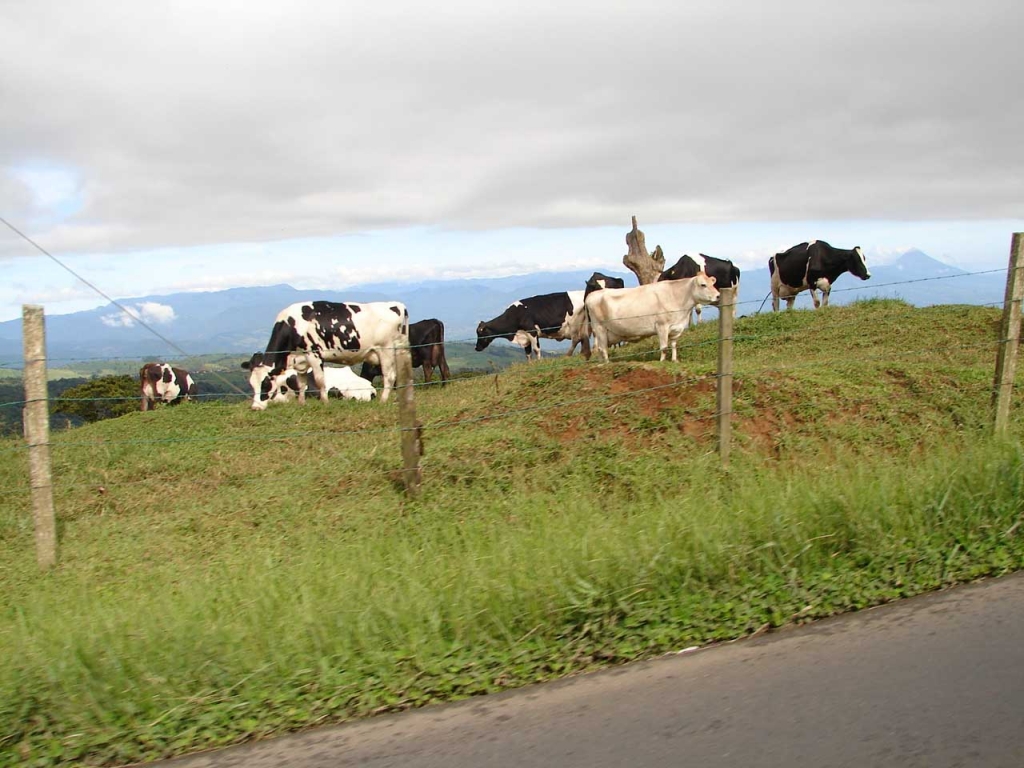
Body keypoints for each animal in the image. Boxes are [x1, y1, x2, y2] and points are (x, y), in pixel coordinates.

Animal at [242, 301, 407, 411]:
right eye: (251, 384)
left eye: (266, 384)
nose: (255, 407)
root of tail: (396, 305)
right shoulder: (300, 361)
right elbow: (301, 384)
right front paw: (302, 404)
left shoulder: (314, 354)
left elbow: (320, 381)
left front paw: (325, 403)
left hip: (386, 350)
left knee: (389, 376)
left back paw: (383, 400)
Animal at [585, 274, 720, 364]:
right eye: (703, 285)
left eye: (713, 284)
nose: (718, 295)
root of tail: (591, 296)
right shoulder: (662, 326)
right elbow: (664, 348)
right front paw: (662, 361)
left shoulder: (676, 328)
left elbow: (674, 345)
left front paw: (674, 360)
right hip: (599, 328)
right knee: (602, 349)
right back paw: (607, 364)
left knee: (600, 349)